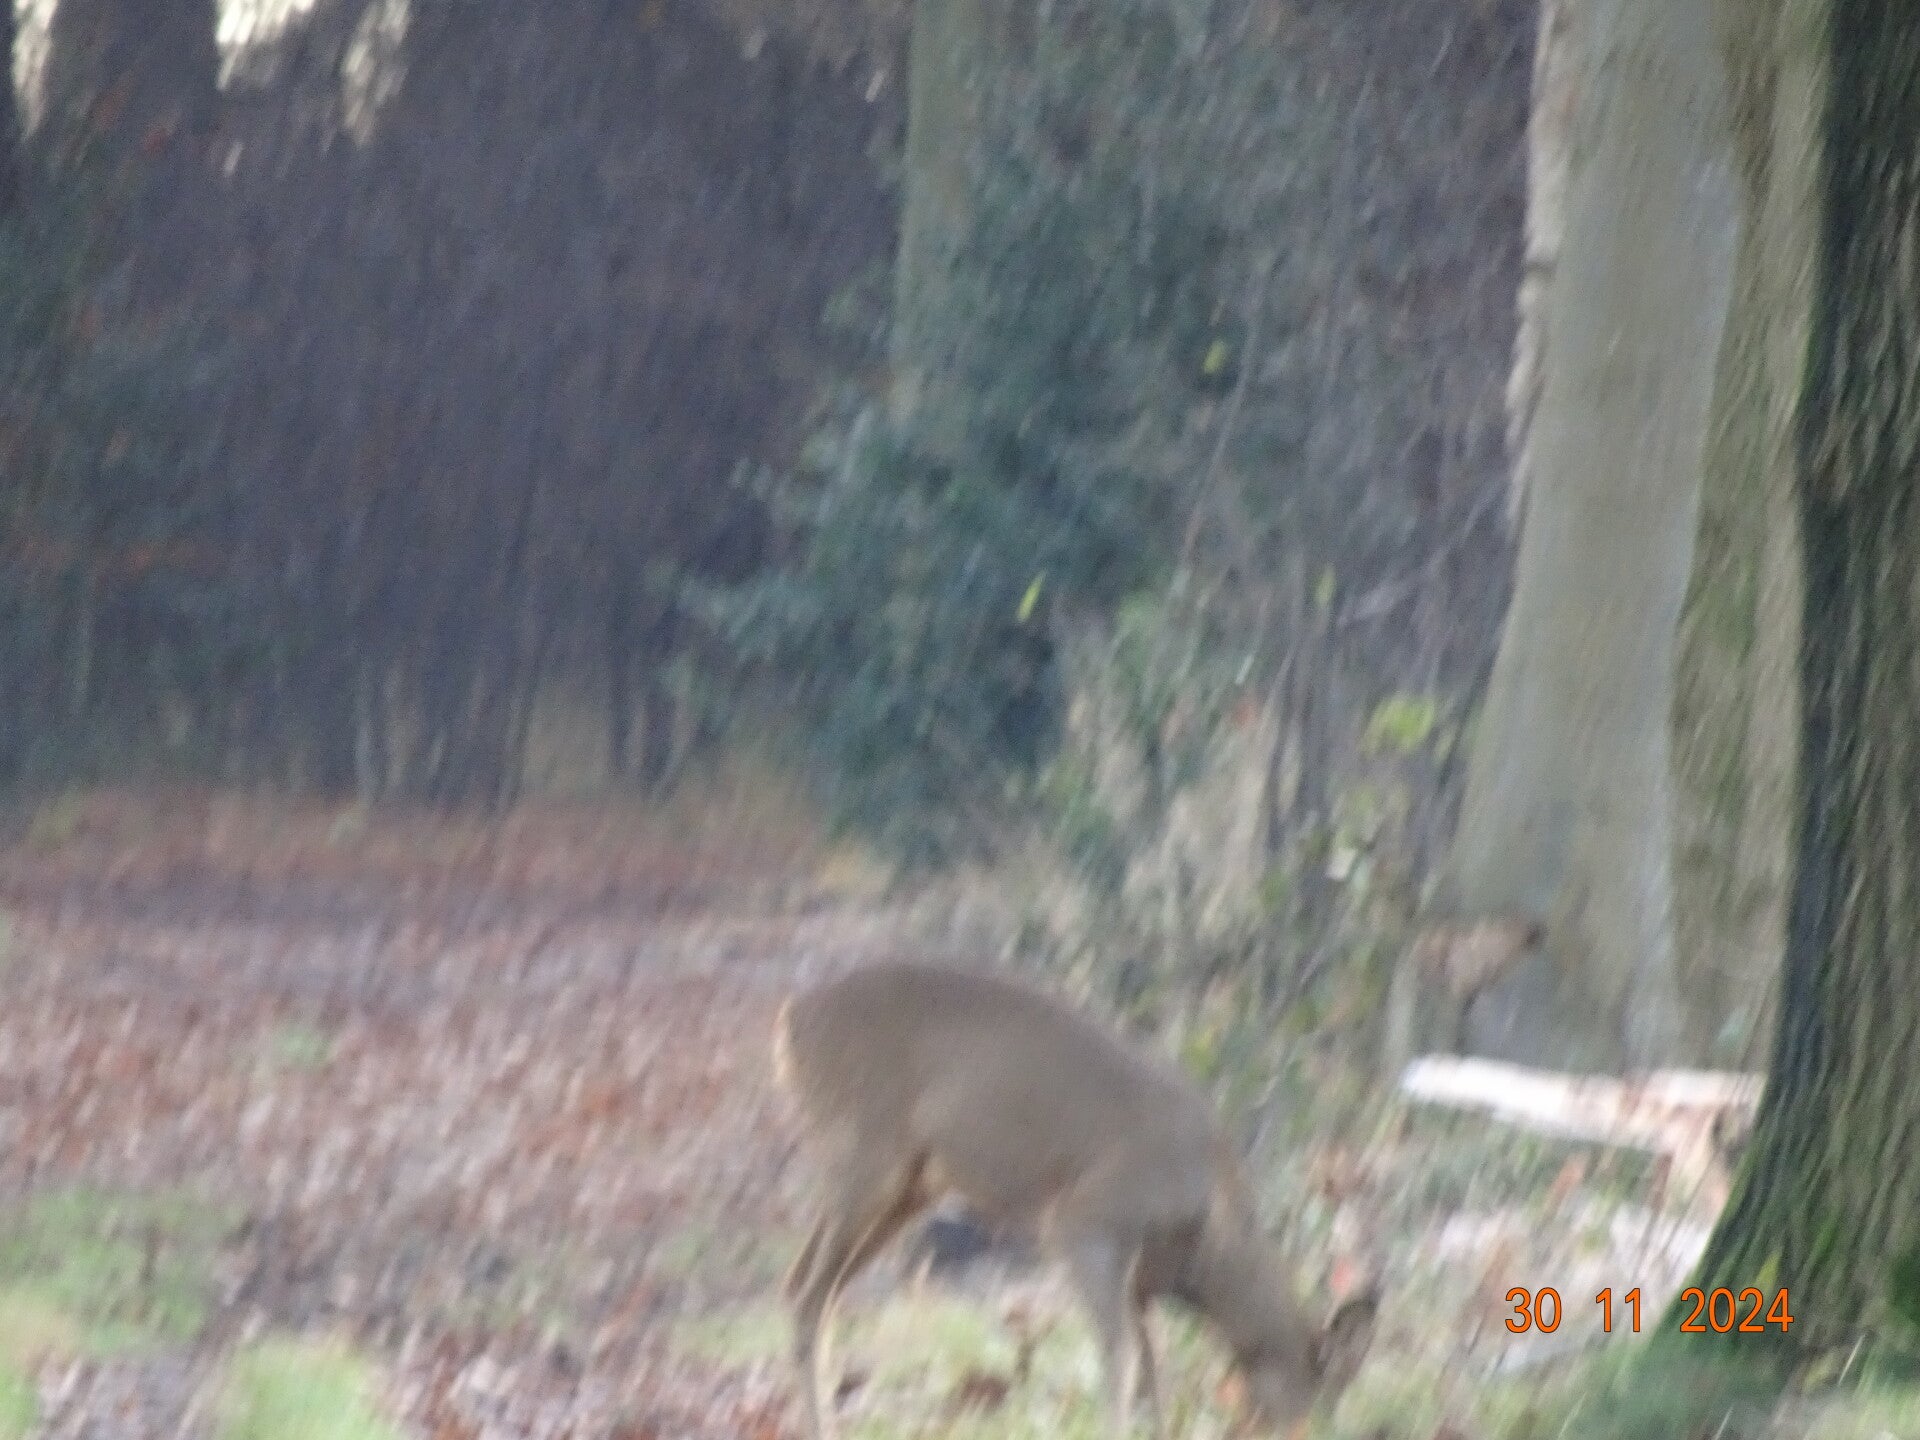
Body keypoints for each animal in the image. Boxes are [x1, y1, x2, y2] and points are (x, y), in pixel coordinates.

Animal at [772, 961, 1379, 1440]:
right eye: (1326, 1387)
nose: (1315, 1427)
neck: (1209, 1233)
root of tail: (791, 1020)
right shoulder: (1085, 1221)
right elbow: (1123, 1362)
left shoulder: (1139, 1281)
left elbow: (1154, 1370)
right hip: (865, 1155)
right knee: (806, 1290)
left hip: (911, 1188)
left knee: (813, 1288)